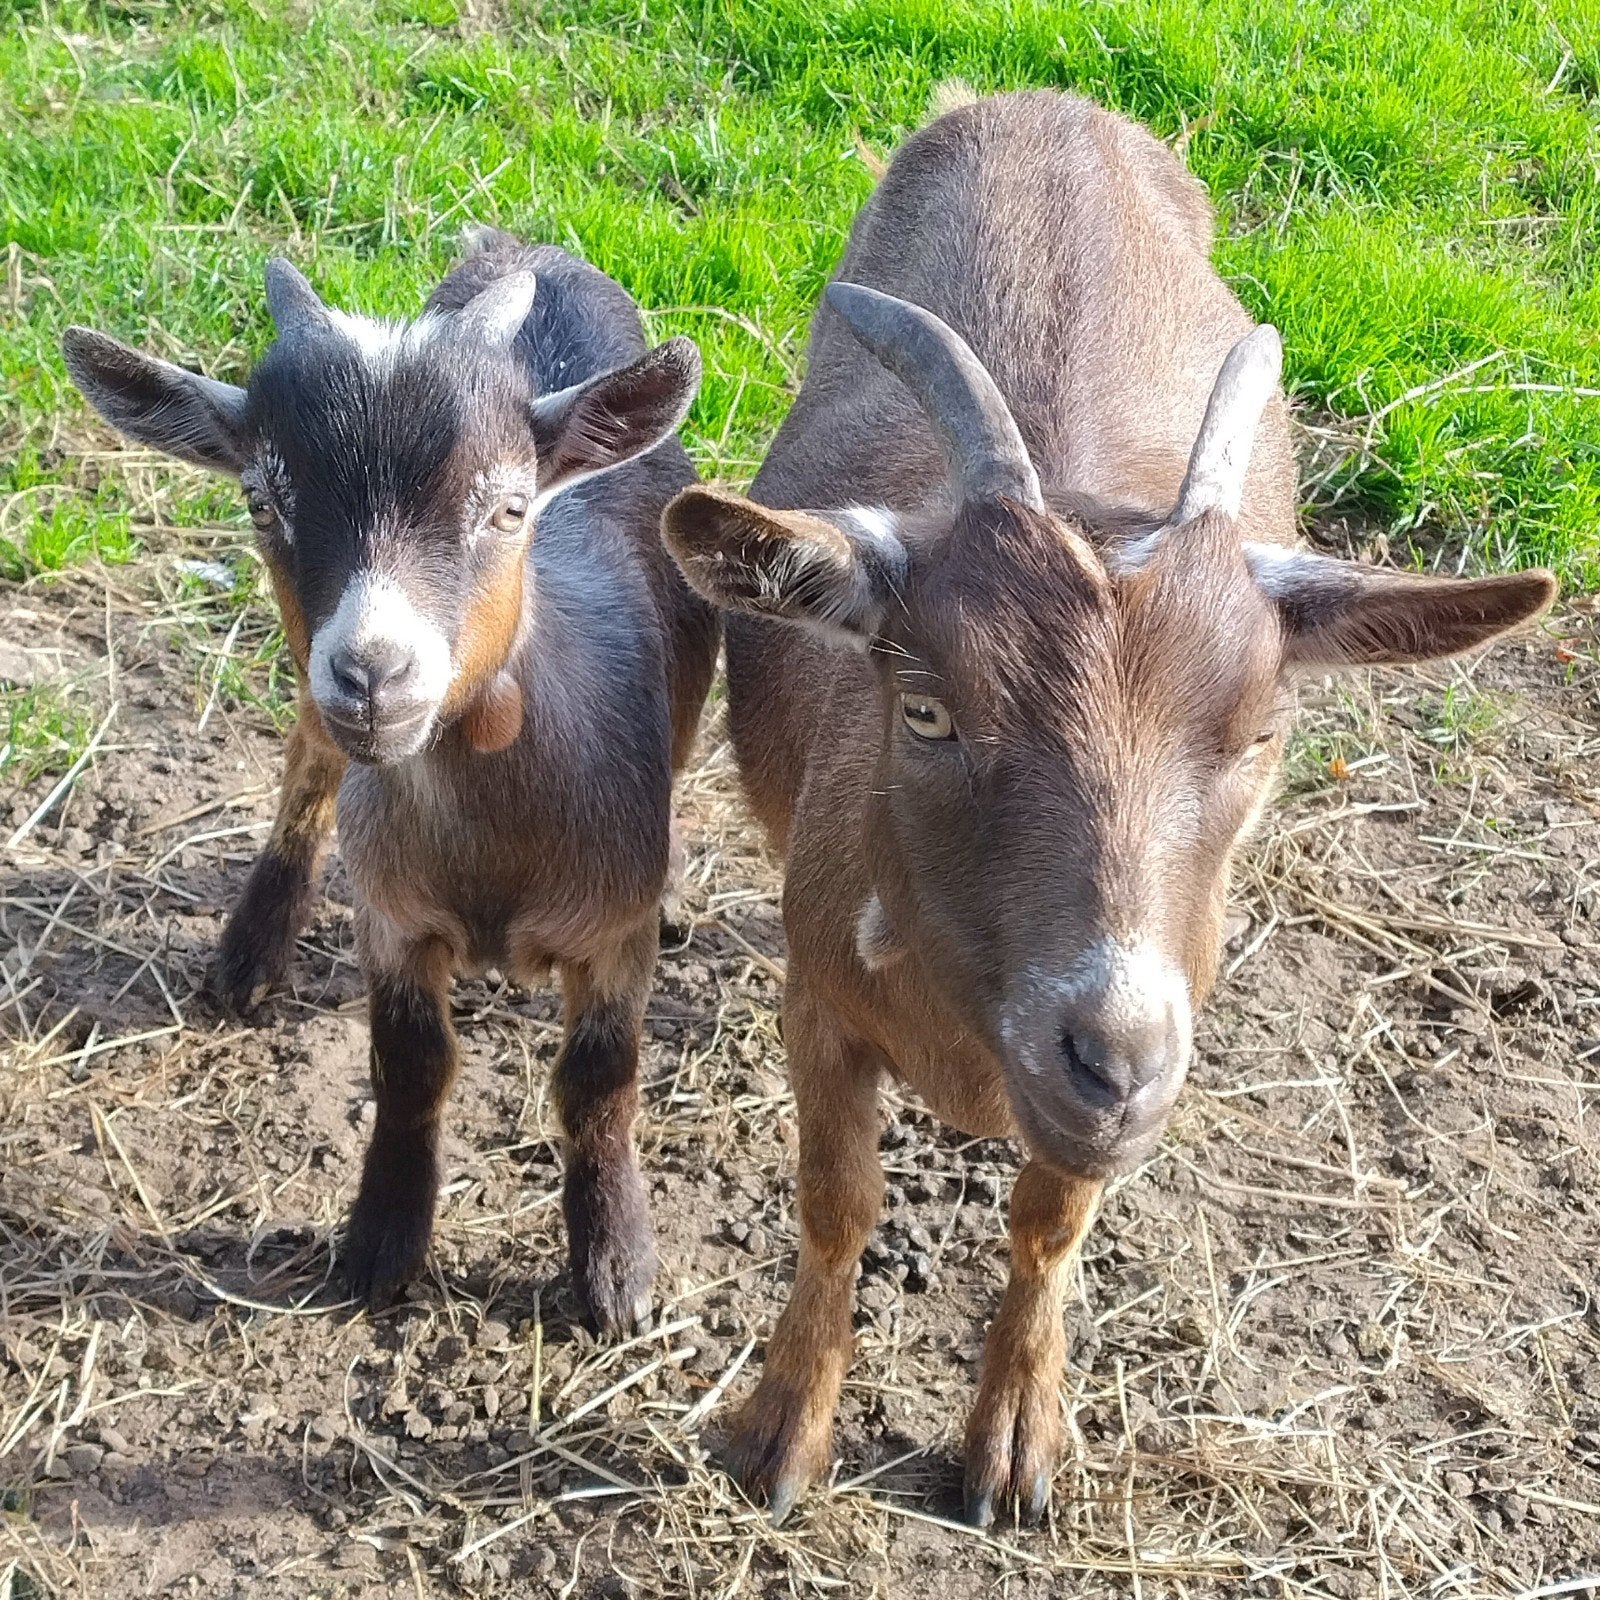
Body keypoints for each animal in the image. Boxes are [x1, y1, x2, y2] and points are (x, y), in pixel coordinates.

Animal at [64, 229, 719, 1327]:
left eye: (508, 507)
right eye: (262, 499)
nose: (374, 674)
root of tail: (520, 243)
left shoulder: (612, 932)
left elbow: (599, 1083)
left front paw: (614, 1269)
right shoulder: (394, 917)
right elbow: (411, 1066)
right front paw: (382, 1242)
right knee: (309, 765)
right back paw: (252, 948)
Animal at [661, 92, 1555, 1523]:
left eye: (1262, 733)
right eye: (925, 708)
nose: (1114, 1057)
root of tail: (1043, 103)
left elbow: (1049, 1222)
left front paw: (1018, 1440)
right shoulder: (822, 1004)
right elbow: (836, 1202)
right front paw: (781, 1430)